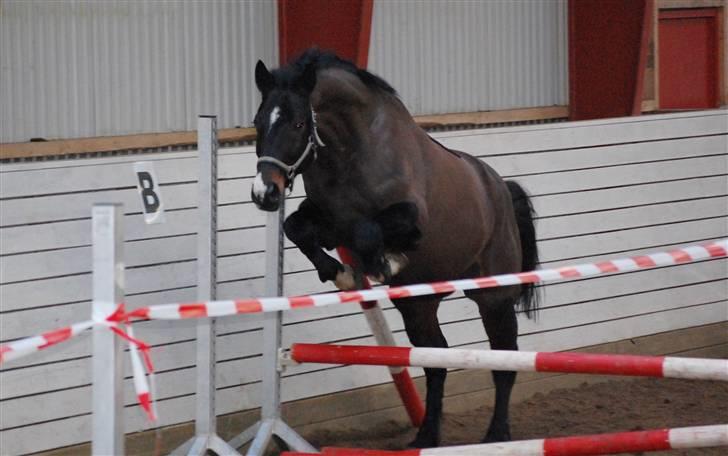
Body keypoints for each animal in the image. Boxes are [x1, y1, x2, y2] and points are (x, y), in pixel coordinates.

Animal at [250, 49, 540, 446]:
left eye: (297, 124)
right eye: (257, 122)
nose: (264, 193)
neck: (351, 152)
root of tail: (500, 188)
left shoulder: (409, 218)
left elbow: (368, 231)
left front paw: (383, 262)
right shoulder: (327, 219)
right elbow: (298, 228)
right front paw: (338, 272)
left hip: (493, 298)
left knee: (504, 359)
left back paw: (497, 434)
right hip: (419, 305)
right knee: (436, 361)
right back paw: (426, 437)